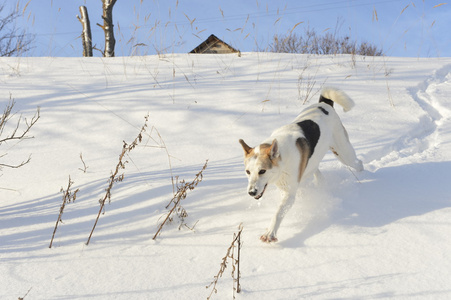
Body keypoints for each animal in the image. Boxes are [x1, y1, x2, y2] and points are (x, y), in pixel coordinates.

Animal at [240, 88, 364, 243]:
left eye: (262, 171)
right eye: (248, 172)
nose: (251, 192)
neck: (282, 157)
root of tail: (324, 104)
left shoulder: (289, 193)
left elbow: (278, 213)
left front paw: (270, 233)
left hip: (344, 154)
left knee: (358, 164)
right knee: (316, 170)